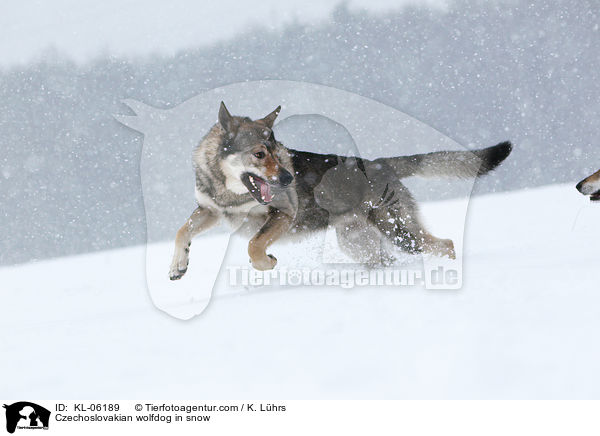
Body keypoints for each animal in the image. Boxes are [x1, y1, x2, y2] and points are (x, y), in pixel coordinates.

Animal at [168, 102, 510, 280]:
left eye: (277, 152)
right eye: (259, 154)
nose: (288, 179)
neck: (228, 191)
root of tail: (379, 164)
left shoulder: (282, 216)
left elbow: (254, 245)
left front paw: (268, 263)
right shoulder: (209, 211)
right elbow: (181, 232)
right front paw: (178, 266)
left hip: (401, 234)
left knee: (446, 244)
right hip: (359, 243)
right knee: (389, 260)